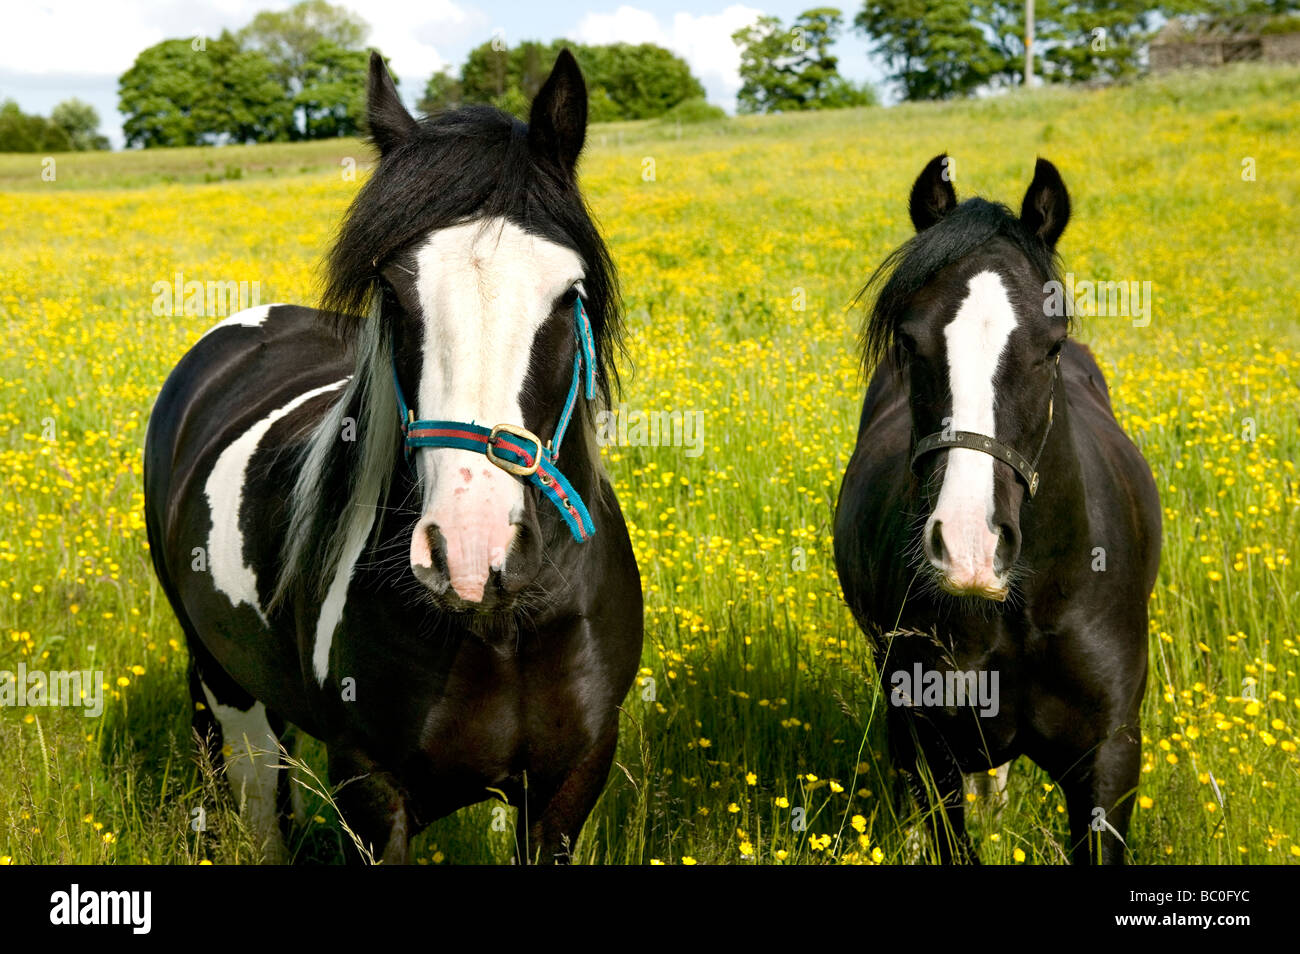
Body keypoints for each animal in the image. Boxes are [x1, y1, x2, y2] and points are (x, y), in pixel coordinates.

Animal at [143, 50, 644, 864]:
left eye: (569, 293)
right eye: (394, 294)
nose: (470, 552)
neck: (502, 627)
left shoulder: (569, 787)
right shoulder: (371, 790)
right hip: (227, 687)